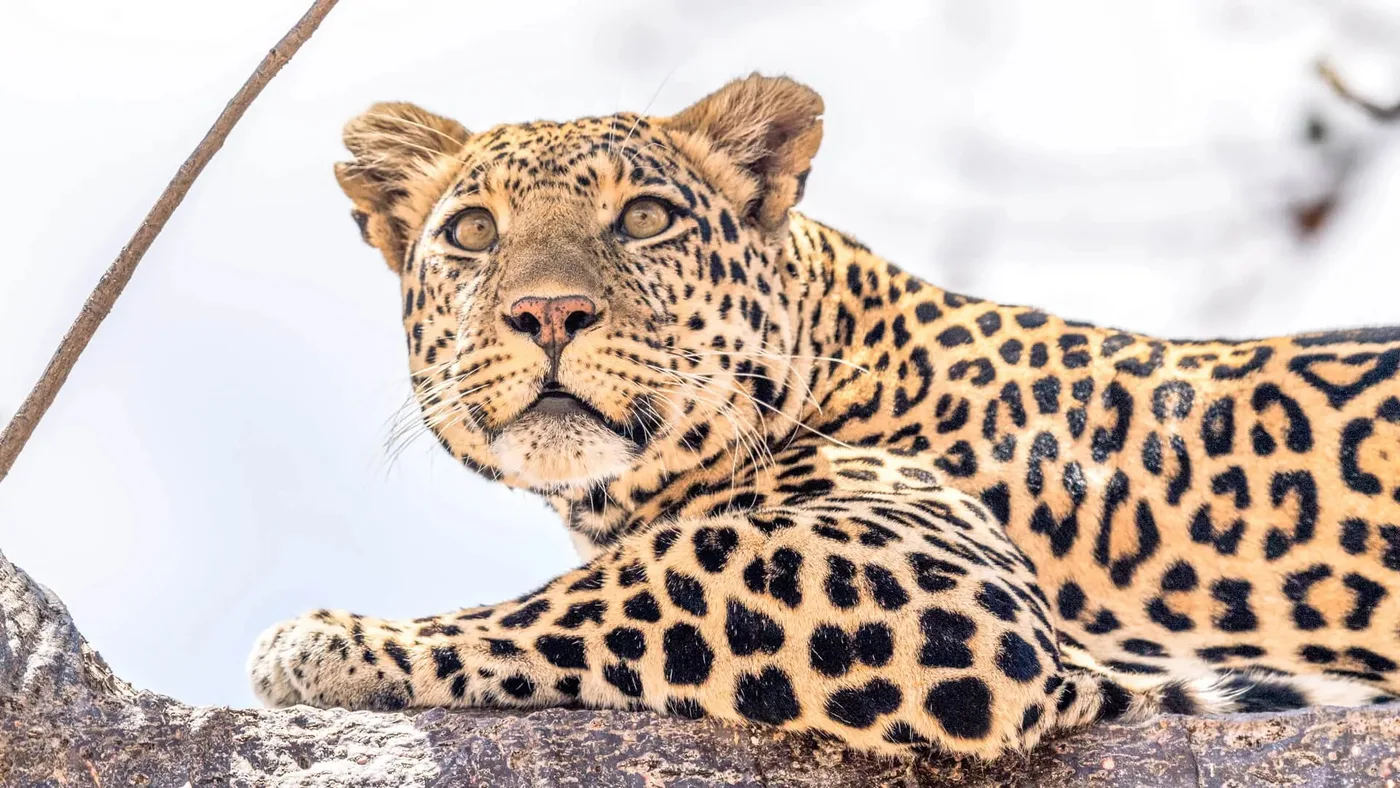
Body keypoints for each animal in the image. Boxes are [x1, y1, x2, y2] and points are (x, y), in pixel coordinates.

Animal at [249, 74, 1400, 760]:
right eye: (474, 232)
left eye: (645, 217)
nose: (549, 312)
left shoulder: (950, 582)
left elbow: (645, 572)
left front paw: (333, 641)